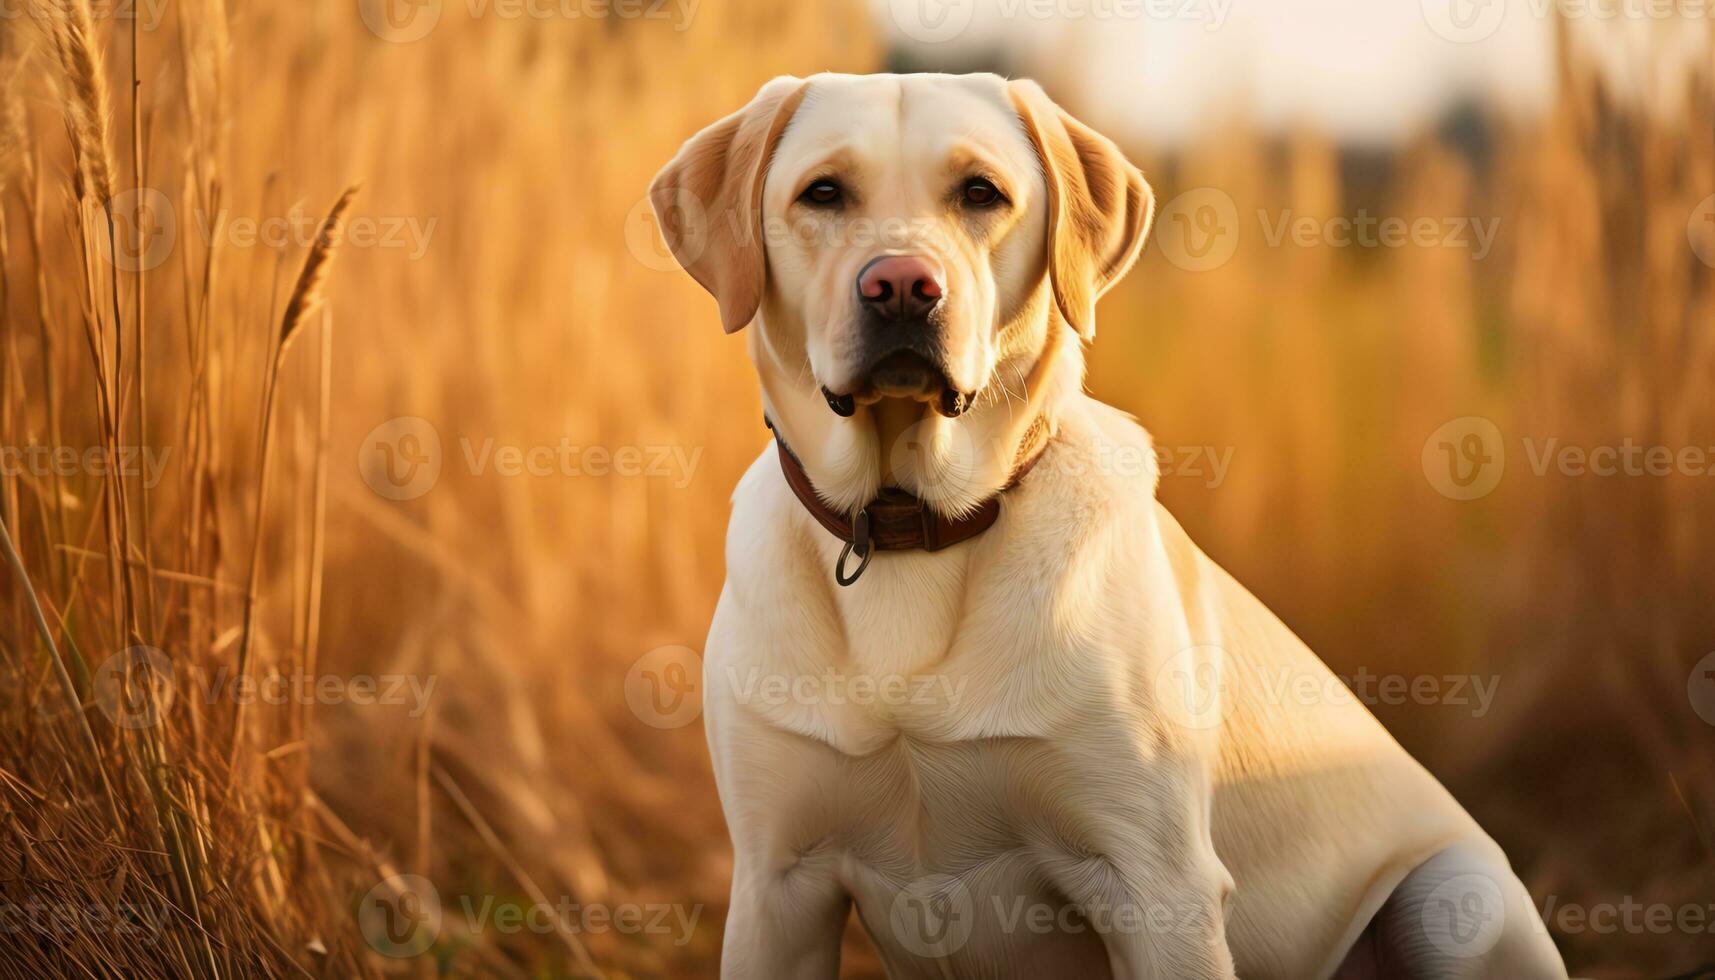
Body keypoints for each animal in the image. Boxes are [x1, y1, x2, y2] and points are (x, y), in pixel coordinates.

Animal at [648, 70, 1570, 980]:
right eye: (823, 192)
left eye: (980, 192)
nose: (902, 286)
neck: (909, 520)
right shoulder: (776, 882)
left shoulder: (1158, 885)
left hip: (1459, 896)